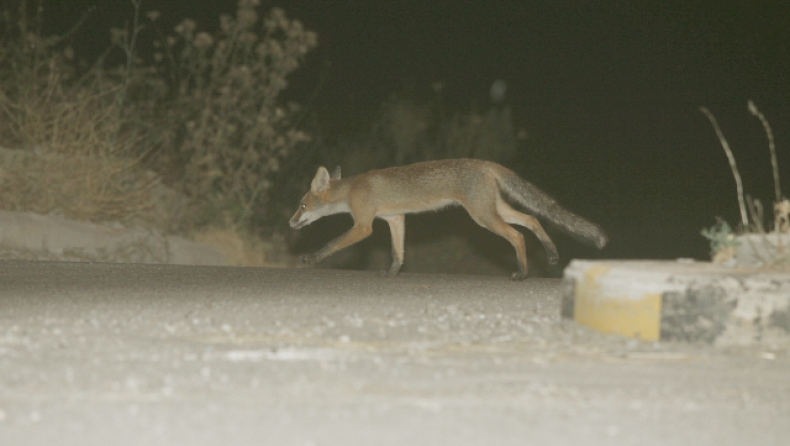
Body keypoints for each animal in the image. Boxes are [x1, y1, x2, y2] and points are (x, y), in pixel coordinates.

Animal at [290, 159, 608, 280]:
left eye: (302, 205)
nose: (291, 223)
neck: (352, 189)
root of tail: (486, 162)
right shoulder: (395, 219)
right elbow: (397, 253)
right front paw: (392, 273)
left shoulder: (363, 226)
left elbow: (332, 243)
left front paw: (311, 258)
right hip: (493, 209)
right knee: (532, 219)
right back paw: (551, 255)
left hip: (483, 217)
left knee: (517, 235)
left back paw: (522, 272)